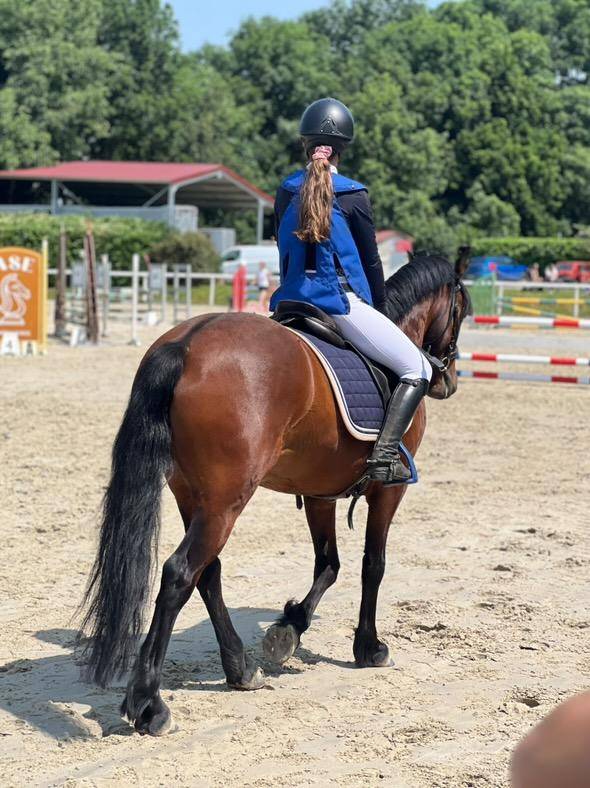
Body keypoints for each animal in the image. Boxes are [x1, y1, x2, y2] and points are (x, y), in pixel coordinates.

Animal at [80, 250, 472, 735]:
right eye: (462, 309)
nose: (445, 382)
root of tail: (187, 343)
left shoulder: (320, 491)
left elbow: (329, 564)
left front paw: (289, 629)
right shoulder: (387, 491)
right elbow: (372, 565)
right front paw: (369, 647)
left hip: (193, 494)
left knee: (207, 572)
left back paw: (240, 670)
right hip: (226, 500)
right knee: (179, 573)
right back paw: (150, 704)